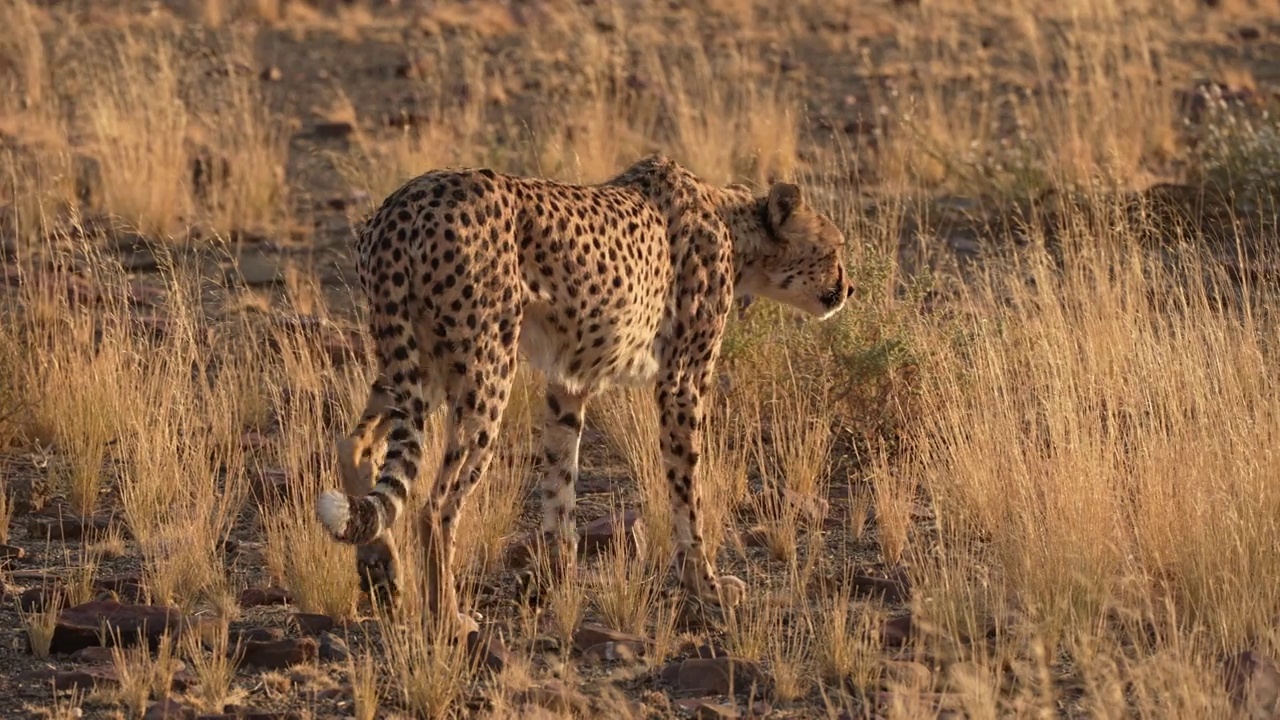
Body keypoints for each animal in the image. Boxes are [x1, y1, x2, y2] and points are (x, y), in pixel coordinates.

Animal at [314, 152, 855, 627]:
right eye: (836, 250)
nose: (848, 289)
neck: (732, 224)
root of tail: (400, 206)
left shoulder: (567, 384)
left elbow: (560, 485)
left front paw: (558, 582)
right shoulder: (682, 382)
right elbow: (688, 492)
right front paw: (707, 584)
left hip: (417, 363)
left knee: (355, 443)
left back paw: (382, 572)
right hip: (485, 370)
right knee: (436, 502)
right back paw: (446, 615)